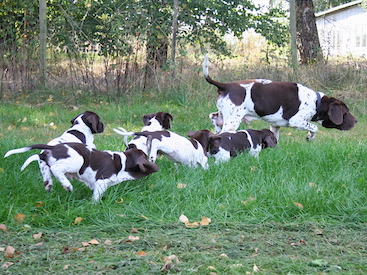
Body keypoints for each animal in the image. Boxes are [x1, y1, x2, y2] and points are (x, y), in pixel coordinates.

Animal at [3, 143, 160, 202]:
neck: (123, 162)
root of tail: (53, 147)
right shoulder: (101, 181)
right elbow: (96, 196)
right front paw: (94, 204)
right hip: (77, 160)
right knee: (56, 169)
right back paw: (67, 185)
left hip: (45, 162)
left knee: (46, 168)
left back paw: (48, 184)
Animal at [203, 54, 358, 141]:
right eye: (346, 112)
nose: (356, 121)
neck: (316, 102)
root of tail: (225, 86)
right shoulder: (296, 121)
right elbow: (314, 128)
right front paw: (309, 136)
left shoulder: (275, 126)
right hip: (232, 121)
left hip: (223, 116)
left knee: (213, 118)